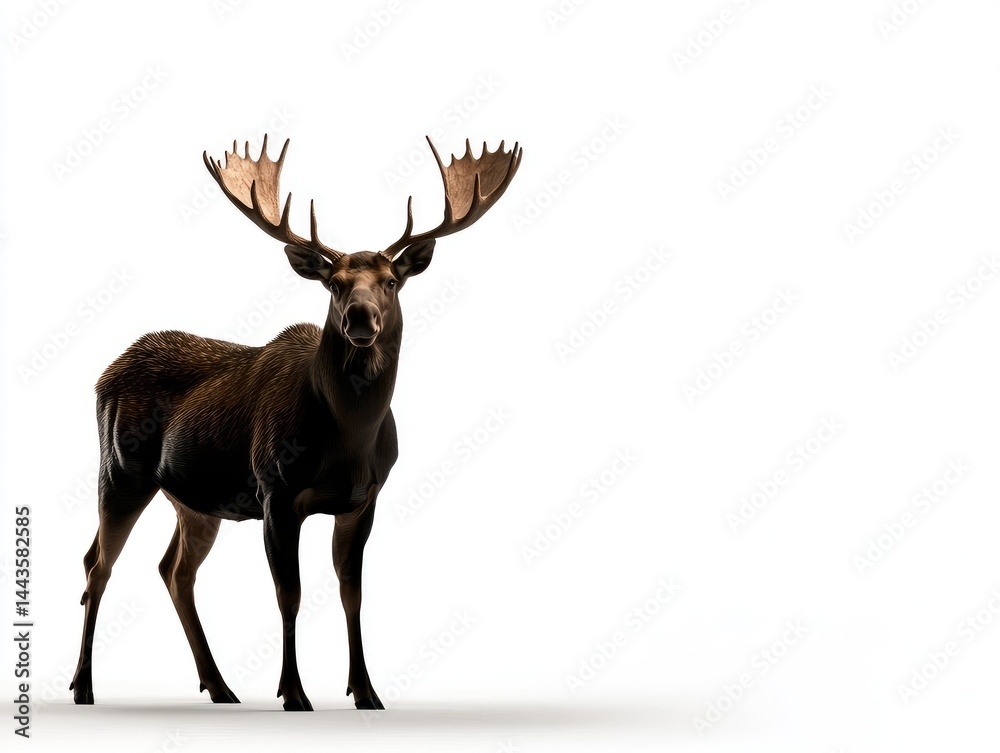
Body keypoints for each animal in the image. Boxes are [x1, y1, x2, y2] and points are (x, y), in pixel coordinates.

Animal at [70, 134, 521, 711]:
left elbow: (352, 593)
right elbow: (290, 594)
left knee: (174, 570)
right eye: (334, 284)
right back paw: (84, 686)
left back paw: (220, 686)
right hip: (120, 470)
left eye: (391, 281)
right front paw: (294, 692)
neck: (348, 443)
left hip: (193, 498)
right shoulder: (275, 492)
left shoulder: (364, 499)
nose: (360, 318)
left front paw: (366, 691)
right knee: (97, 564)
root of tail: (105, 372)